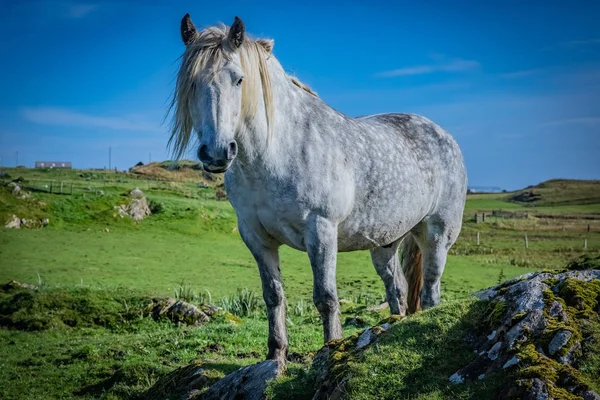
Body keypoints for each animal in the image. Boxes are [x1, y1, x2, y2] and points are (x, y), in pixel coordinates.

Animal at [169, 14, 468, 362]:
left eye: (239, 80)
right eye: (191, 82)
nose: (217, 152)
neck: (279, 151)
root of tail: (442, 134)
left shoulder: (321, 230)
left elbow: (325, 297)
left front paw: (330, 348)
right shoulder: (256, 237)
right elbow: (273, 295)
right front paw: (276, 355)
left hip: (436, 234)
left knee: (430, 290)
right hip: (385, 242)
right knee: (398, 289)